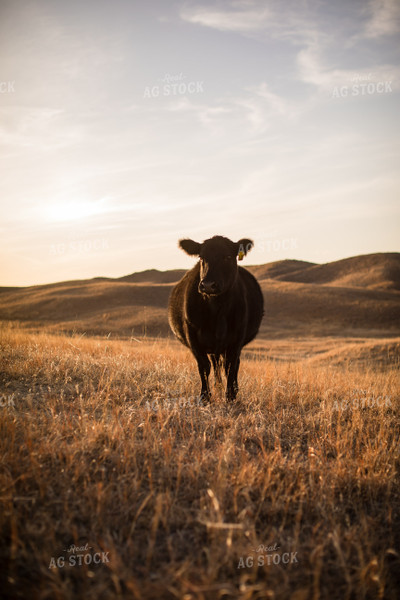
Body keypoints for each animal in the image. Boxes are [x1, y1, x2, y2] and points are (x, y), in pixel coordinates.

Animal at [167, 237, 264, 400]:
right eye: (201, 257)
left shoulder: (236, 339)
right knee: (215, 363)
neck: (216, 309)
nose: (208, 285)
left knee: (232, 364)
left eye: (228, 257)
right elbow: (204, 366)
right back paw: (218, 387)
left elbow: (230, 366)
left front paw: (230, 396)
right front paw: (205, 397)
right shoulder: (192, 336)